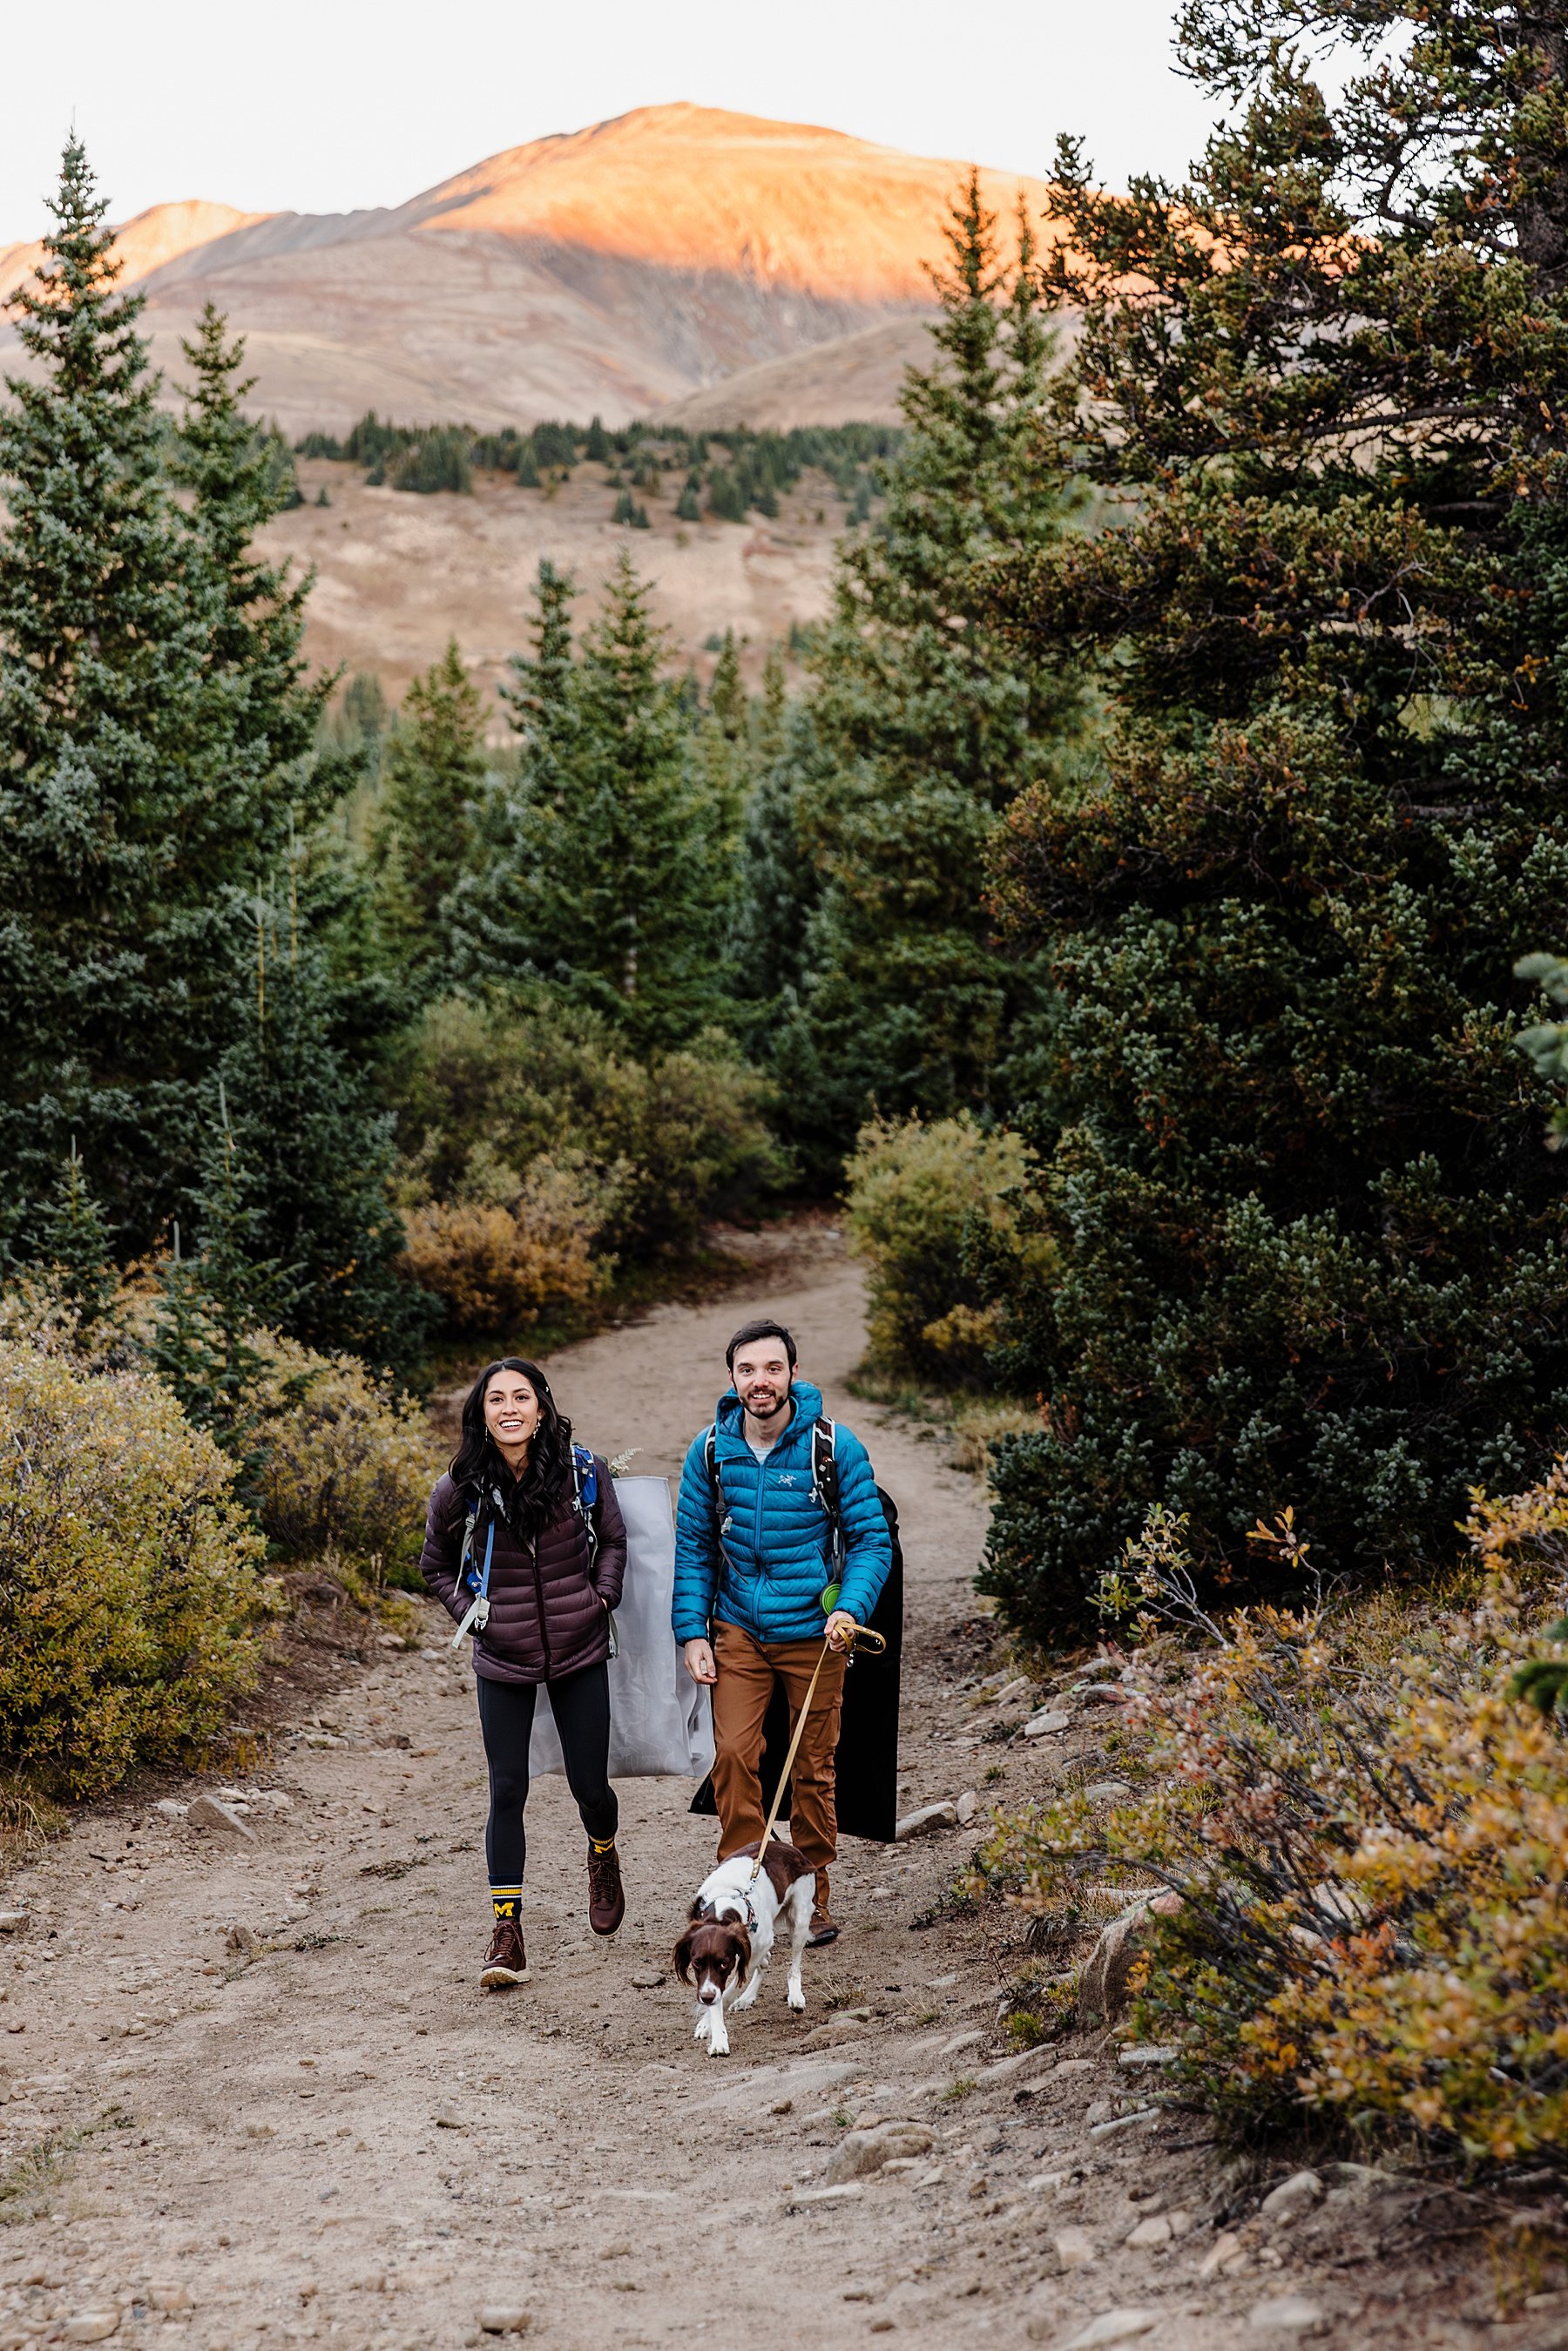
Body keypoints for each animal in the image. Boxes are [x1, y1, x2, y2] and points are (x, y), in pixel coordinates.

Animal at [677, 1834, 818, 2059]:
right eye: (696, 1962)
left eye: (724, 1963)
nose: (705, 1998)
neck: (725, 1903)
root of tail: (790, 1848)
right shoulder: (714, 1974)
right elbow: (719, 1993)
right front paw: (715, 2034)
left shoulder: (752, 1949)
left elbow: (730, 1988)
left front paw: (709, 2024)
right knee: (766, 1962)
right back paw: (747, 1999)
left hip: (800, 1917)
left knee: (794, 1964)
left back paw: (795, 1996)